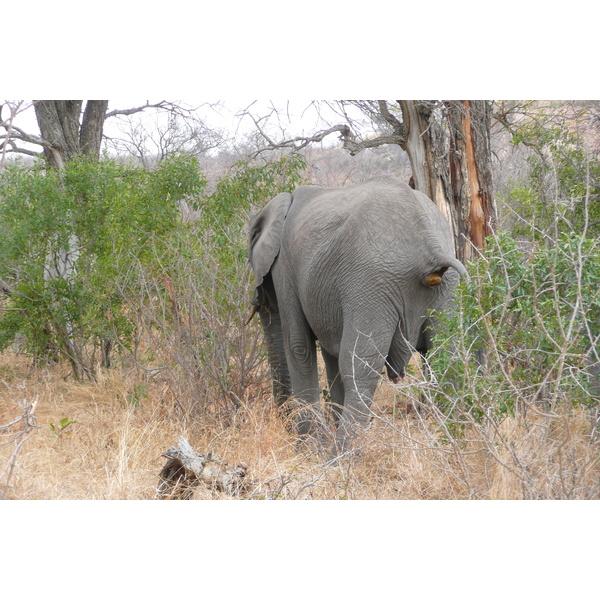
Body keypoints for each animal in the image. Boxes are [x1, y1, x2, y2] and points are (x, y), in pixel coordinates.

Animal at [246, 175, 466, 450]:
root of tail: (431, 249)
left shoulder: (285, 268)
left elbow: (298, 346)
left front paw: (308, 450)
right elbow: (330, 354)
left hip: (371, 284)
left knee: (359, 371)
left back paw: (338, 458)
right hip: (446, 288)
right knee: (448, 360)